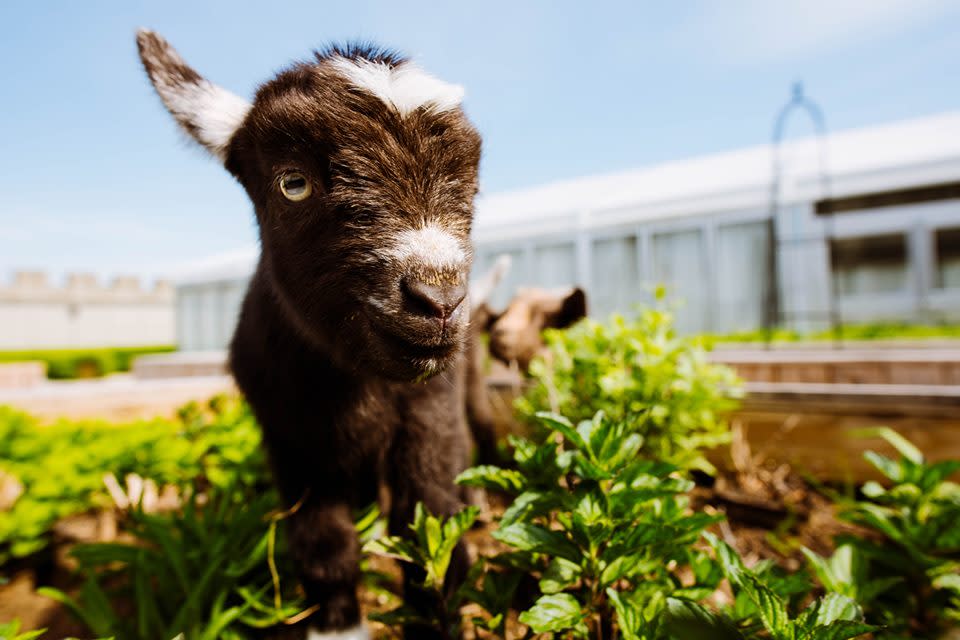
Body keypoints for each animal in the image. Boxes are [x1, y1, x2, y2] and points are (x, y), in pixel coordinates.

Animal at [139, 31, 484, 640]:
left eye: (472, 185)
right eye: (293, 183)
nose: (438, 300)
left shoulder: (432, 416)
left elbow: (433, 536)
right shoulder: (292, 439)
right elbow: (323, 546)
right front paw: (339, 624)